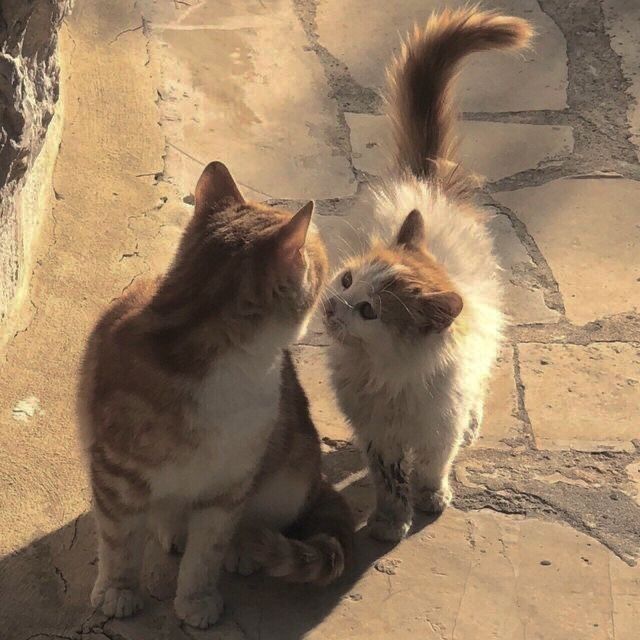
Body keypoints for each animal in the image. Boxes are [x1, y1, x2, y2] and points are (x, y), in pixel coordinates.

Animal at [79, 162, 356, 628]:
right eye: (319, 257)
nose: (337, 284)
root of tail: (320, 479)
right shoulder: (115, 478)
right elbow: (119, 546)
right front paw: (118, 591)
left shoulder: (229, 487)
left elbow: (204, 556)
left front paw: (196, 600)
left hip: (288, 476)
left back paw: (244, 549)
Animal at [322, 8, 532, 540]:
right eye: (347, 281)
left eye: (369, 311)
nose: (332, 306)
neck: (389, 376)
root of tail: (425, 180)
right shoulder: (377, 435)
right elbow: (389, 481)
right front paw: (389, 521)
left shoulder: (439, 426)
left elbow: (434, 465)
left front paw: (432, 498)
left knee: (477, 390)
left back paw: (475, 423)